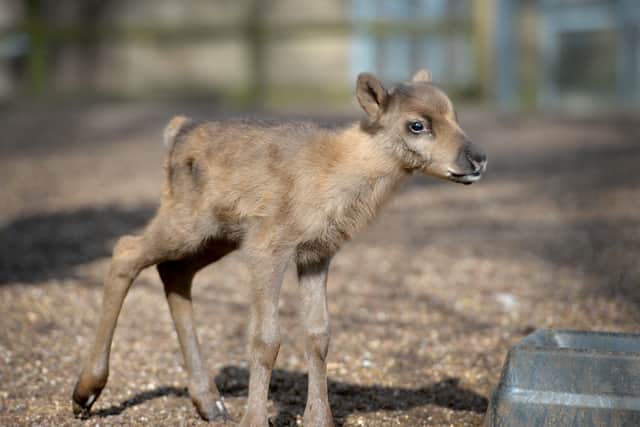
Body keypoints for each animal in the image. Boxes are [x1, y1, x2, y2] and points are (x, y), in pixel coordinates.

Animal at [71, 69, 487, 426]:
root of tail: (175, 132)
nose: (477, 159)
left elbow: (318, 335)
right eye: (417, 124)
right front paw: (256, 420)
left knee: (174, 272)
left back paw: (210, 403)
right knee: (126, 250)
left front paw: (320, 420)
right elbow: (266, 338)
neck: (338, 174)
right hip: (186, 221)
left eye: (454, 115)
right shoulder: (268, 247)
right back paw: (85, 393)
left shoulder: (317, 254)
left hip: (218, 237)